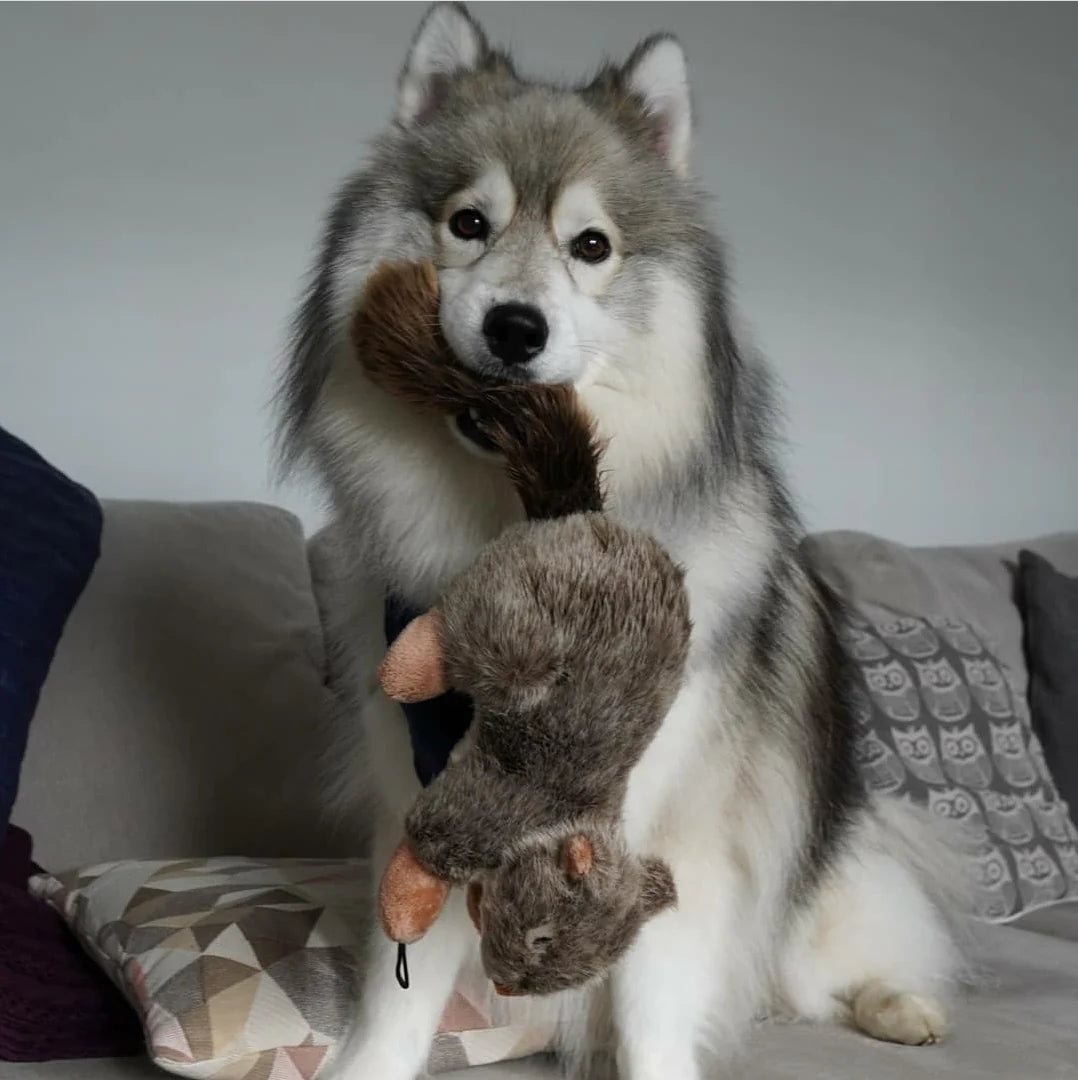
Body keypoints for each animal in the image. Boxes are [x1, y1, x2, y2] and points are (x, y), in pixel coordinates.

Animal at [278, 5, 964, 1078]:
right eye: (467, 223)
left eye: (591, 245)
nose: (515, 327)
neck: (511, 525)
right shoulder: (421, 804)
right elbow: (399, 998)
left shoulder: (671, 835)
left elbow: (653, 1012)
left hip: (813, 885)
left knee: (833, 964)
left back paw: (902, 1007)